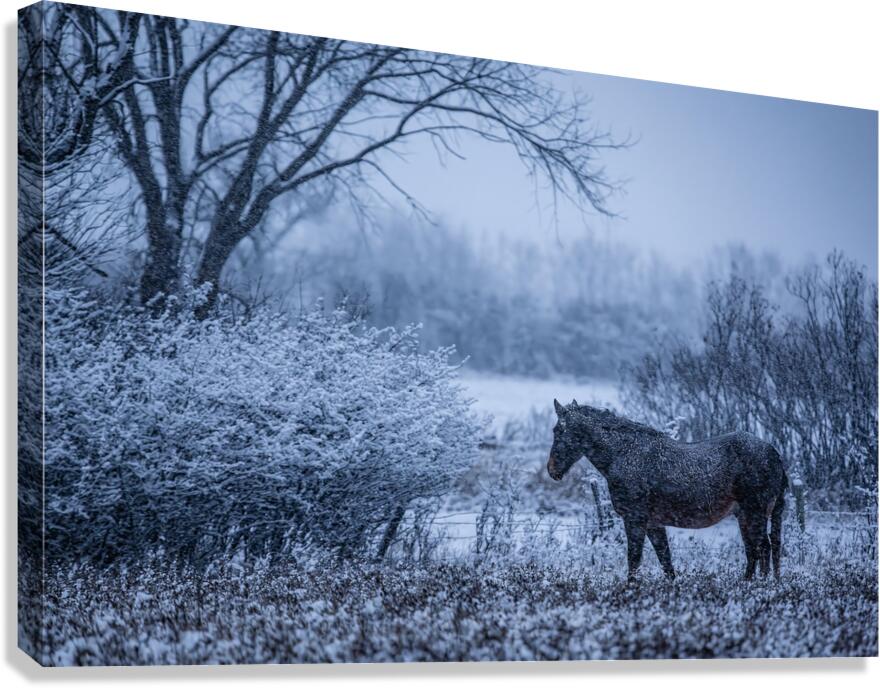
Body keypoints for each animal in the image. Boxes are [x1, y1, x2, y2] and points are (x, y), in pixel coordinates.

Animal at [547, 399, 788, 581]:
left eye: (559, 430)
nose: (552, 470)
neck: (625, 455)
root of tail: (774, 453)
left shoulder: (635, 520)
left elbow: (634, 559)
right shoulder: (654, 523)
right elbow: (665, 560)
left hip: (754, 514)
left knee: (763, 549)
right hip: (744, 516)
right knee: (754, 552)